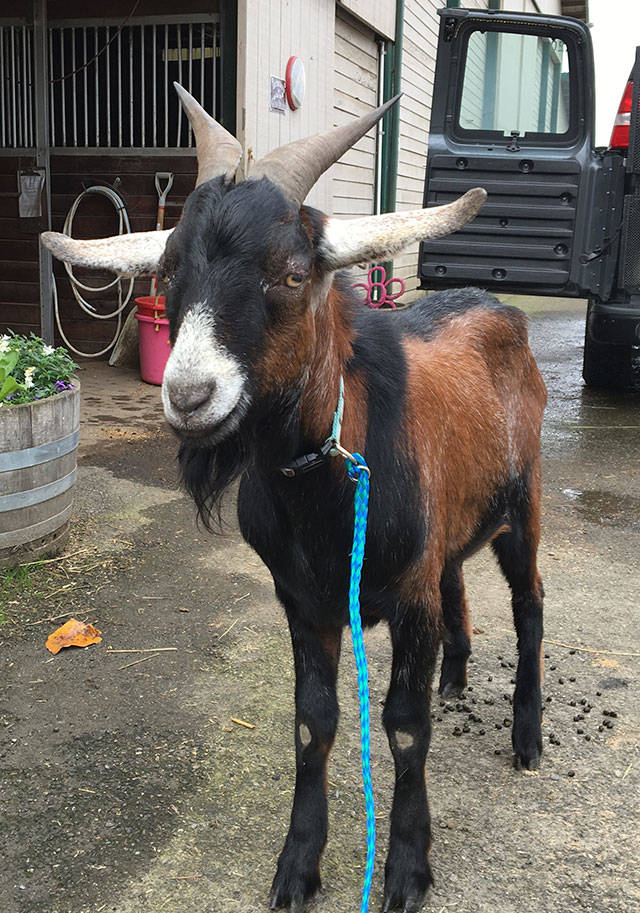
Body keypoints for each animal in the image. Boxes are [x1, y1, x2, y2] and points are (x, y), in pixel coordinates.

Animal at [43, 85, 547, 913]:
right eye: (168, 272)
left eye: (290, 273)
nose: (189, 393)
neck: (326, 495)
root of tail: (499, 308)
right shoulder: (302, 597)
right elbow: (313, 721)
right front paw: (298, 863)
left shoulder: (407, 594)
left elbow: (404, 727)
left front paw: (406, 867)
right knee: (458, 575)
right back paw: (456, 674)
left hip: (525, 499)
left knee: (530, 603)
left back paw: (527, 737)